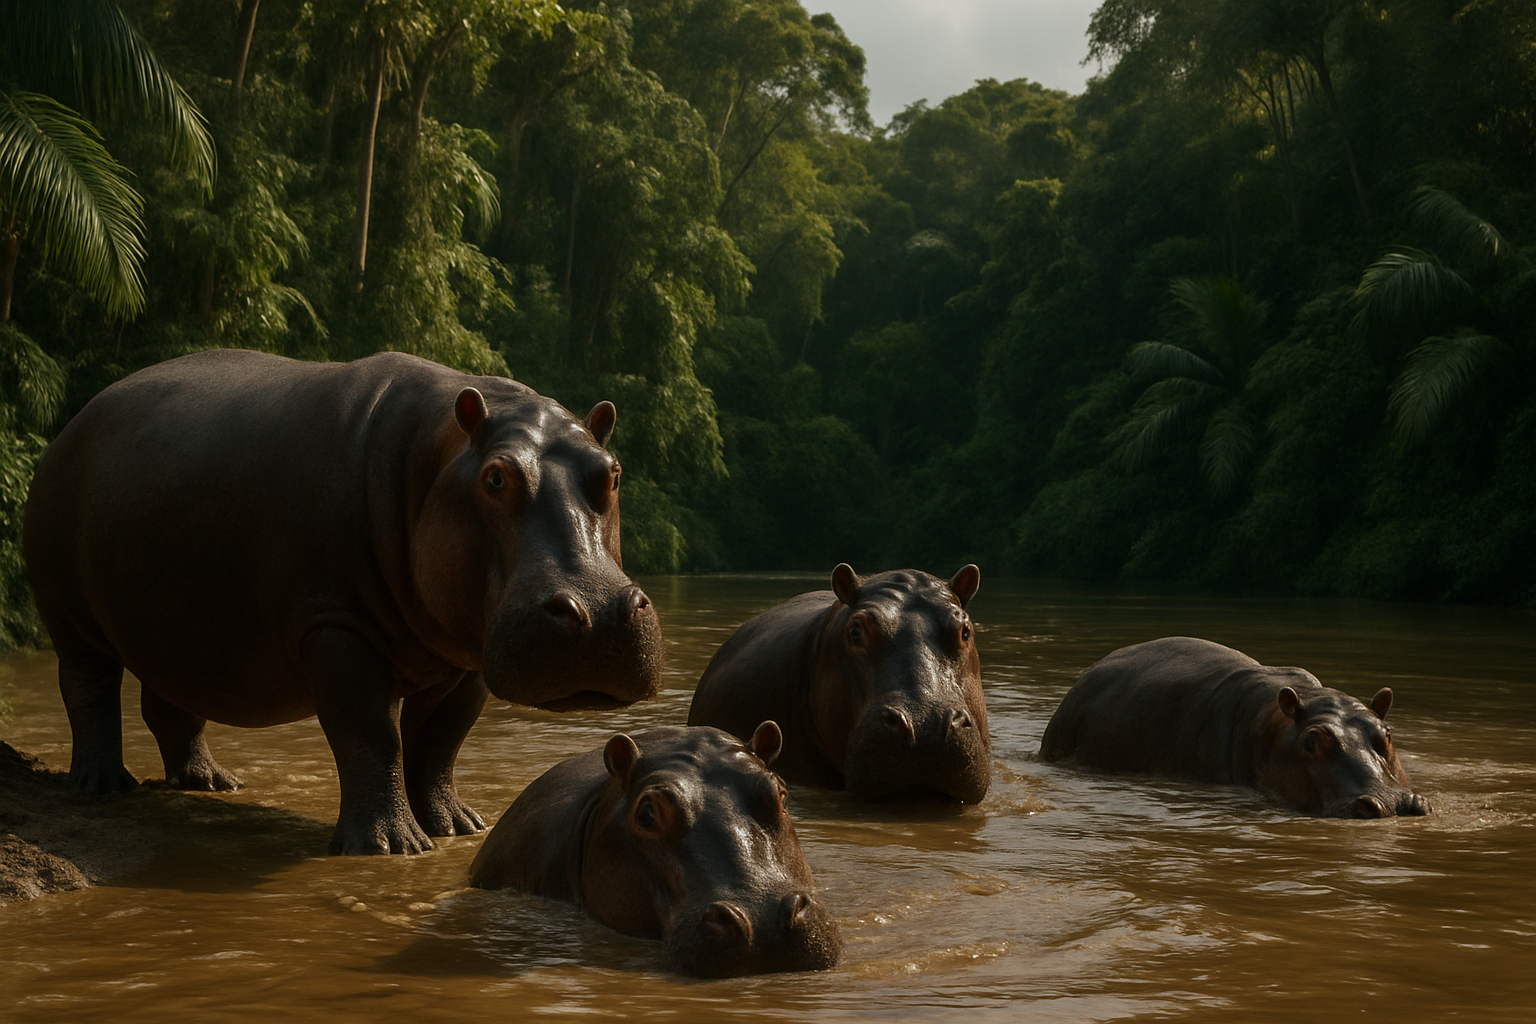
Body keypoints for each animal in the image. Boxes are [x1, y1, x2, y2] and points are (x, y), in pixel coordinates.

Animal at [23, 349, 664, 854]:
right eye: (496, 477)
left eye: (613, 473)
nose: (599, 614)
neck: (436, 457)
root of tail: (68, 427)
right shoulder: (336, 626)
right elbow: (371, 732)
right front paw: (393, 846)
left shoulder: (466, 655)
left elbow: (441, 740)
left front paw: (459, 827)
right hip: (72, 617)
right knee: (88, 689)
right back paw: (103, 785)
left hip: (180, 631)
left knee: (172, 703)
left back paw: (212, 783)